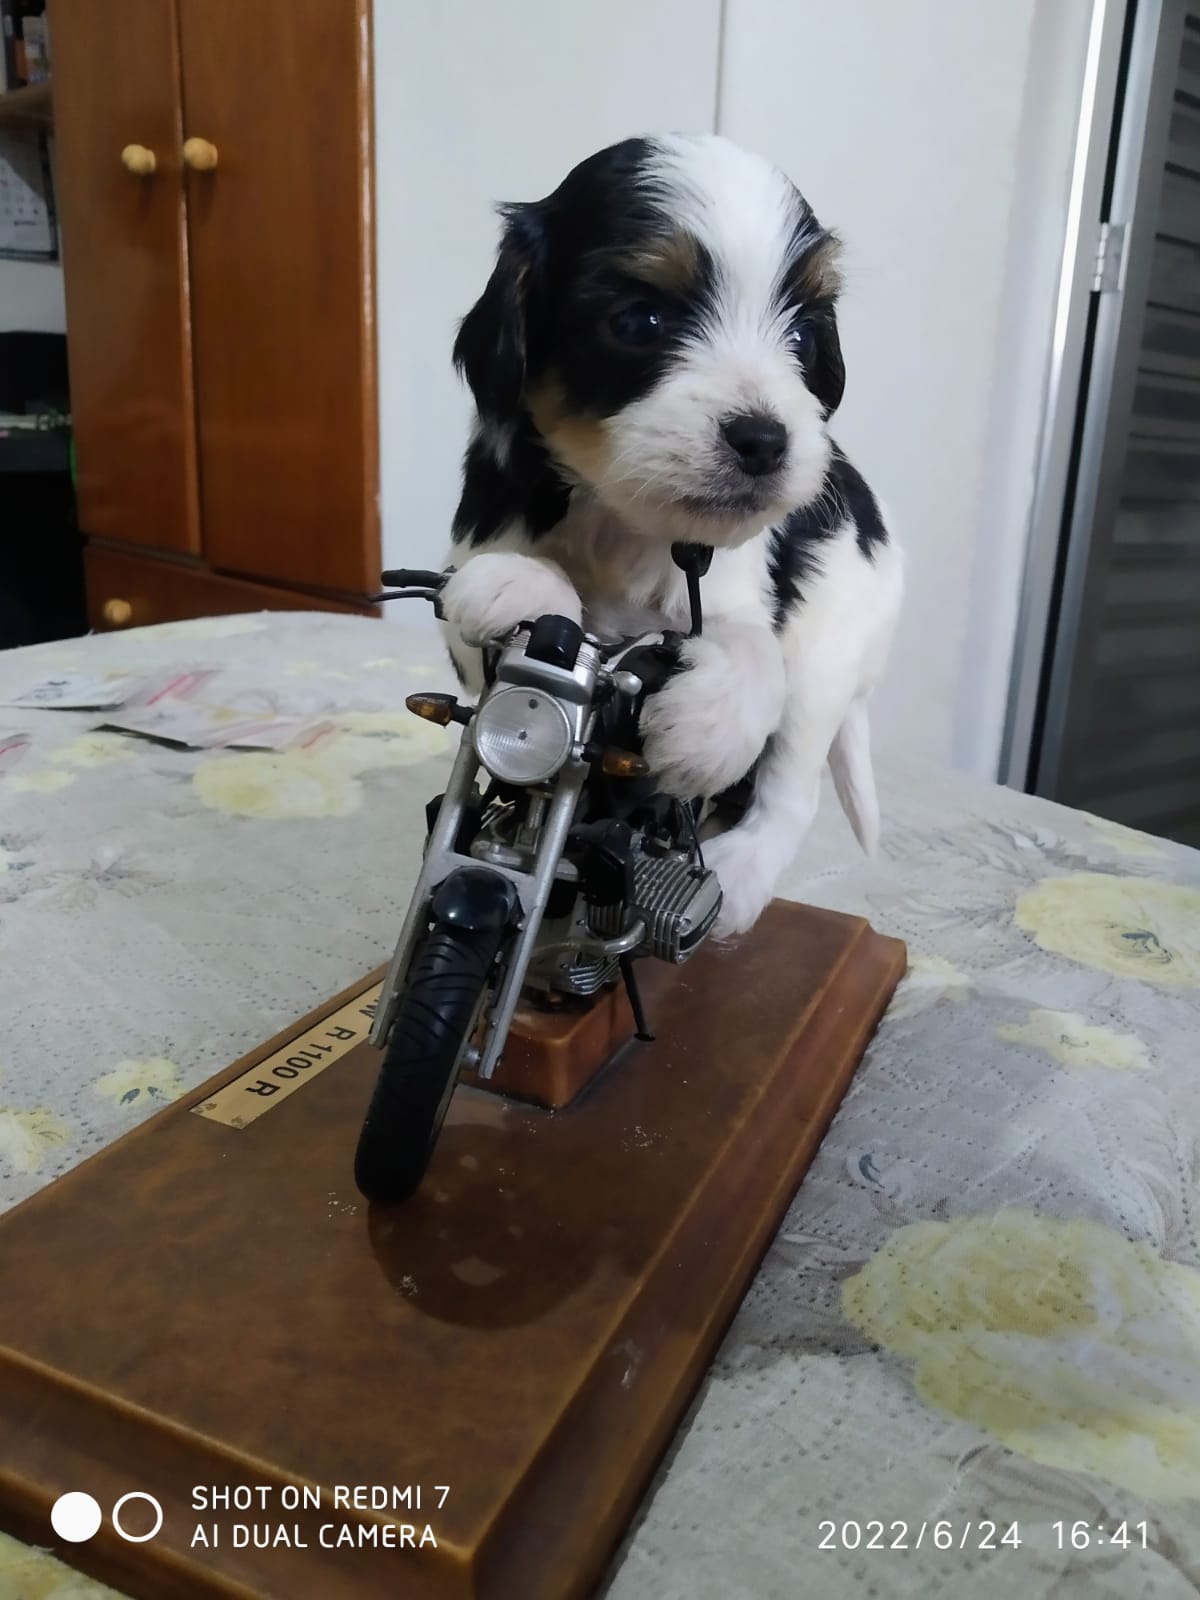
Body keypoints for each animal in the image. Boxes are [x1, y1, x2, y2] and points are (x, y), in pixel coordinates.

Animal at [437, 134, 903, 937]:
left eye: (805, 335)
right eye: (639, 323)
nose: (764, 439)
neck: (626, 526)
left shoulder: (736, 589)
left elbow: (748, 645)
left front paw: (709, 724)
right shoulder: (461, 587)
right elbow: (496, 596)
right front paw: (519, 581)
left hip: (833, 652)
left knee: (793, 778)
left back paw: (739, 874)